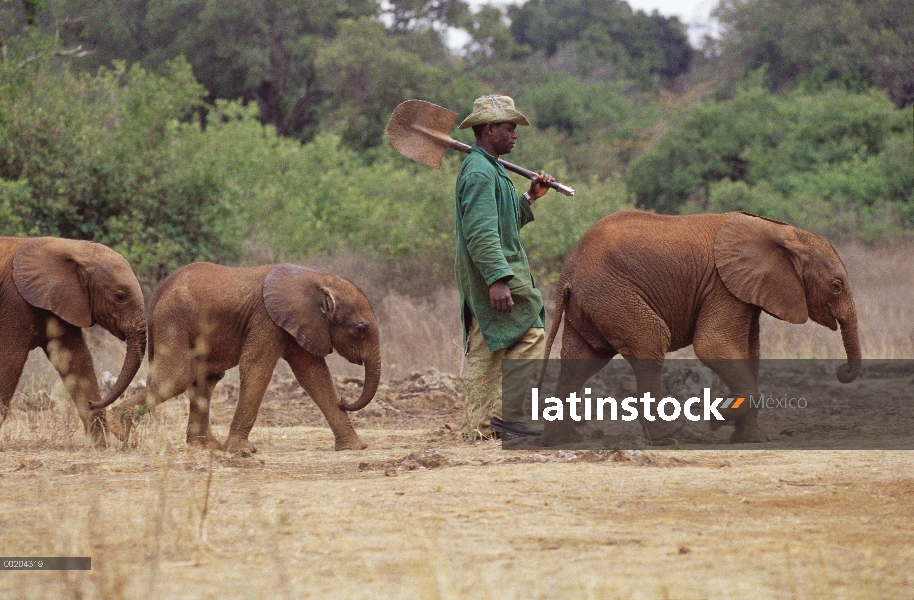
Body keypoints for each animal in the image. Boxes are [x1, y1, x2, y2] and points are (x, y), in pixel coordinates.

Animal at [0, 237, 146, 448]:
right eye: (120, 296)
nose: (92, 403)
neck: (73, 248)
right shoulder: (15, 301)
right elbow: (11, 358)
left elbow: (75, 358)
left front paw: (102, 443)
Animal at [99, 260, 382, 452]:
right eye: (360, 329)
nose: (345, 400)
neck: (317, 278)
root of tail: (157, 294)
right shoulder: (266, 320)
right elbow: (257, 368)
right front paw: (242, 452)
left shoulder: (300, 325)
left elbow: (315, 376)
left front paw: (356, 448)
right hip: (174, 320)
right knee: (177, 378)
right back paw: (116, 428)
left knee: (204, 380)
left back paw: (205, 446)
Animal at [540, 211, 864, 446]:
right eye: (836, 286)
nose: (842, 371)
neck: (780, 231)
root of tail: (568, 270)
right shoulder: (723, 287)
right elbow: (713, 346)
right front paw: (717, 419)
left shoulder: (744, 291)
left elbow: (750, 353)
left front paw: (751, 439)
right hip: (611, 294)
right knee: (651, 340)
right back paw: (668, 435)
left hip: (592, 302)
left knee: (581, 361)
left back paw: (563, 441)